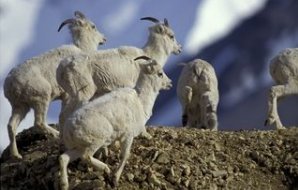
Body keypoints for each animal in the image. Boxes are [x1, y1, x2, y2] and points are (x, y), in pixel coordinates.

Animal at [3, 10, 106, 159]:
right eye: (93, 26)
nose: (104, 39)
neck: (81, 49)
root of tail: (9, 85)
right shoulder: (68, 96)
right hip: (41, 99)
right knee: (39, 122)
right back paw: (56, 134)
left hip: (21, 107)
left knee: (11, 126)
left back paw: (16, 155)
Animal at [59, 55, 171, 189]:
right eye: (160, 73)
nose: (170, 83)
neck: (140, 101)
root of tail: (68, 130)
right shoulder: (127, 137)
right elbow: (125, 156)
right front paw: (115, 178)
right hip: (94, 142)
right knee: (86, 157)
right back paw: (106, 169)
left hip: (78, 147)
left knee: (63, 158)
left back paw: (64, 185)